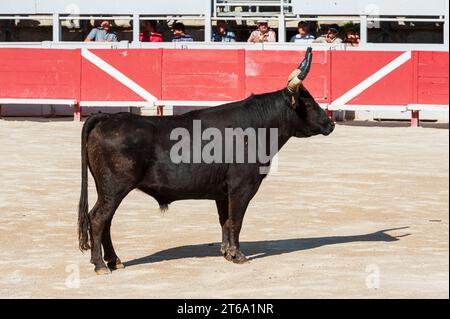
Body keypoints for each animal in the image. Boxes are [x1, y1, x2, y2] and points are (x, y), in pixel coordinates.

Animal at [80, 77, 334, 276]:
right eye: (308, 103)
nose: (330, 124)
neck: (257, 126)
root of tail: (105, 118)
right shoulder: (242, 187)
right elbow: (237, 220)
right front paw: (238, 255)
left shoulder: (222, 193)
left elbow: (225, 221)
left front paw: (226, 252)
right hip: (115, 187)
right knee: (98, 218)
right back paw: (100, 264)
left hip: (107, 189)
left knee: (106, 220)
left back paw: (114, 261)